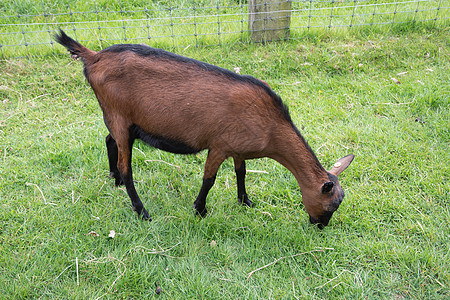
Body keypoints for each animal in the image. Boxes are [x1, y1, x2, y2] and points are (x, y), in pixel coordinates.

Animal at [53, 29, 356, 227]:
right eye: (331, 204)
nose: (320, 226)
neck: (271, 127)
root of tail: (93, 57)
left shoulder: (238, 147)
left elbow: (241, 172)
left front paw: (245, 201)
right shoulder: (219, 145)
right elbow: (209, 179)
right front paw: (199, 210)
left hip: (122, 121)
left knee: (109, 140)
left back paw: (114, 179)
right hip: (118, 116)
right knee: (127, 168)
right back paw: (141, 211)